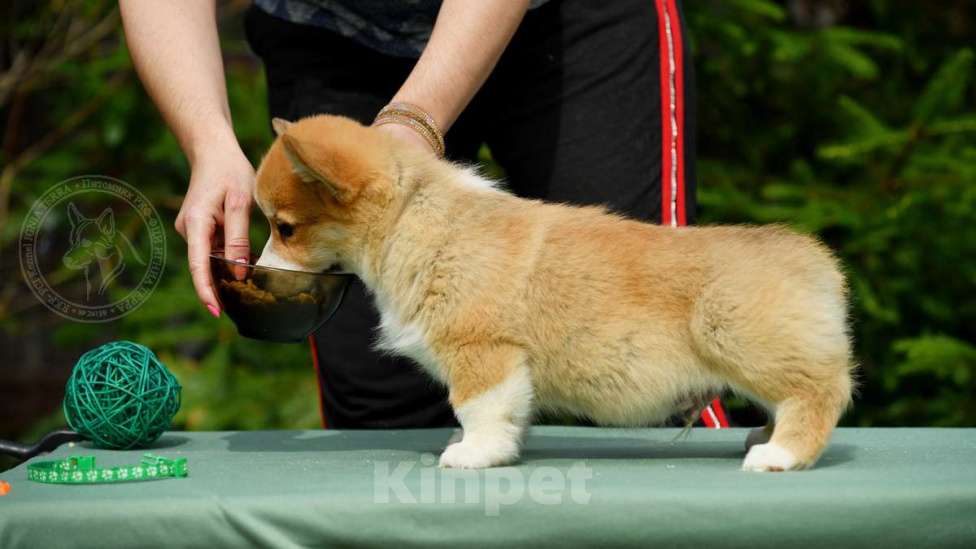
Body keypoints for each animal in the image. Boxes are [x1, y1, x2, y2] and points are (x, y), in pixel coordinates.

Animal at [258, 114, 856, 470]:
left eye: (284, 228)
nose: (259, 272)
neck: (411, 218)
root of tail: (815, 262)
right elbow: (509, 413)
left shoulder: (481, 351)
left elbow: (477, 408)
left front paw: (474, 455)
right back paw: (763, 437)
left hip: (743, 343)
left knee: (819, 392)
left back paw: (779, 455)